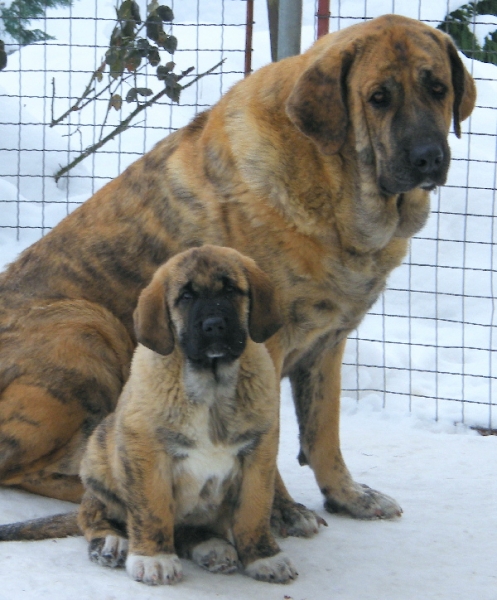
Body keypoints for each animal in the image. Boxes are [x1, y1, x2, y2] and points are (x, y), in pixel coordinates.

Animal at [0, 14, 474, 528]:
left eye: (438, 88)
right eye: (378, 97)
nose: (429, 157)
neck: (338, 194)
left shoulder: (327, 344)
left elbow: (323, 431)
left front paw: (348, 496)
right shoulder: (266, 343)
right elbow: (270, 441)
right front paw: (280, 512)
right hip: (88, 326)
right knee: (21, 467)